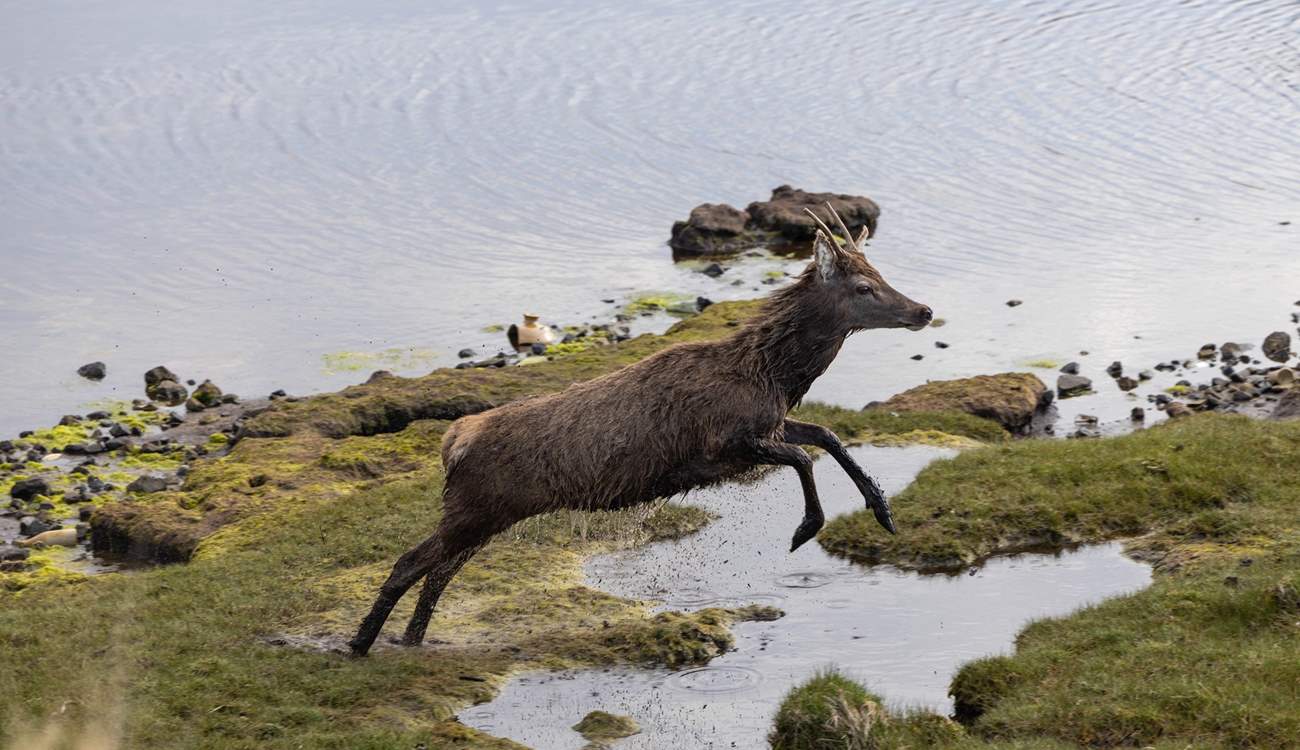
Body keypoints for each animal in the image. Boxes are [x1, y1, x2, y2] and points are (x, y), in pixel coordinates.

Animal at [349, 204, 933, 656]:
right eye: (864, 285)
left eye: (880, 274)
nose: (924, 310)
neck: (771, 375)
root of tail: (453, 441)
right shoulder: (726, 443)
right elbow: (806, 457)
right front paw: (806, 527)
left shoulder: (770, 425)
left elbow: (827, 436)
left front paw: (882, 509)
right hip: (476, 507)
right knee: (410, 563)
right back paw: (360, 644)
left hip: (486, 512)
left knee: (438, 571)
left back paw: (410, 639)